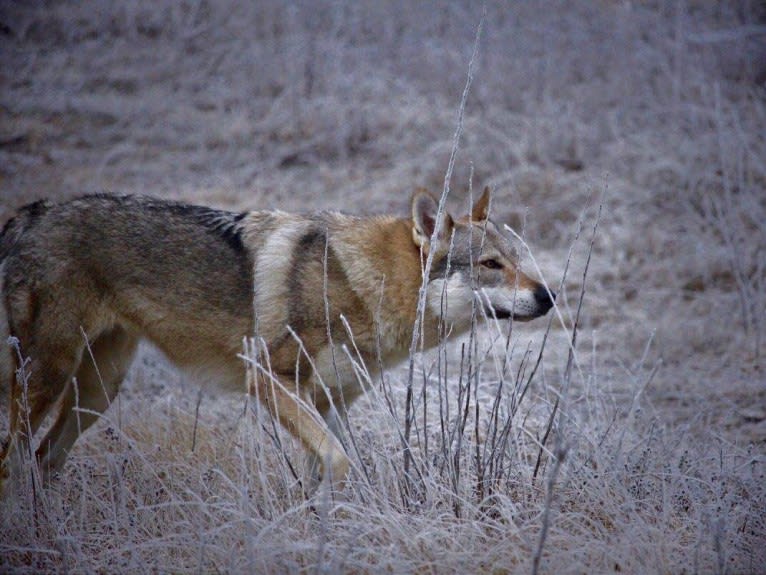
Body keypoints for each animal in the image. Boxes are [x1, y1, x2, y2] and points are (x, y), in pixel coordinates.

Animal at [0, 188, 552, 490]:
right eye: (491, 265)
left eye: (521, 257)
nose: (548, 297)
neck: (356, 283)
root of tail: (32, 214)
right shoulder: (269, 380)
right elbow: (338, 460)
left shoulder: (329, 402)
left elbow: (321, 471)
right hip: (49, 379)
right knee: (12, 459)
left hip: (97, 391)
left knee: (42, 457)